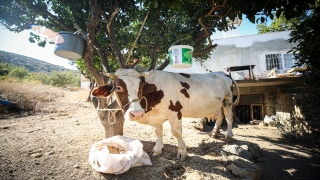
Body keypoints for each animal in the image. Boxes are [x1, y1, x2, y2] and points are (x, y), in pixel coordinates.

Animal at [91, 69, 239, 160]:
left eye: (141, 88)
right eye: (118, 88)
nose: (136, 113)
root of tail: (223, 73)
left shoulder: (175, 112)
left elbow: (177, 133)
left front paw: (182, 152)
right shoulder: (157, 116)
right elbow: (158, 132)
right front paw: (157, 149)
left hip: (228, 101)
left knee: (229, 117)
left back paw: (228, 135)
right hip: (217, 104)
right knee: (220, 117)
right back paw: (214, 133)